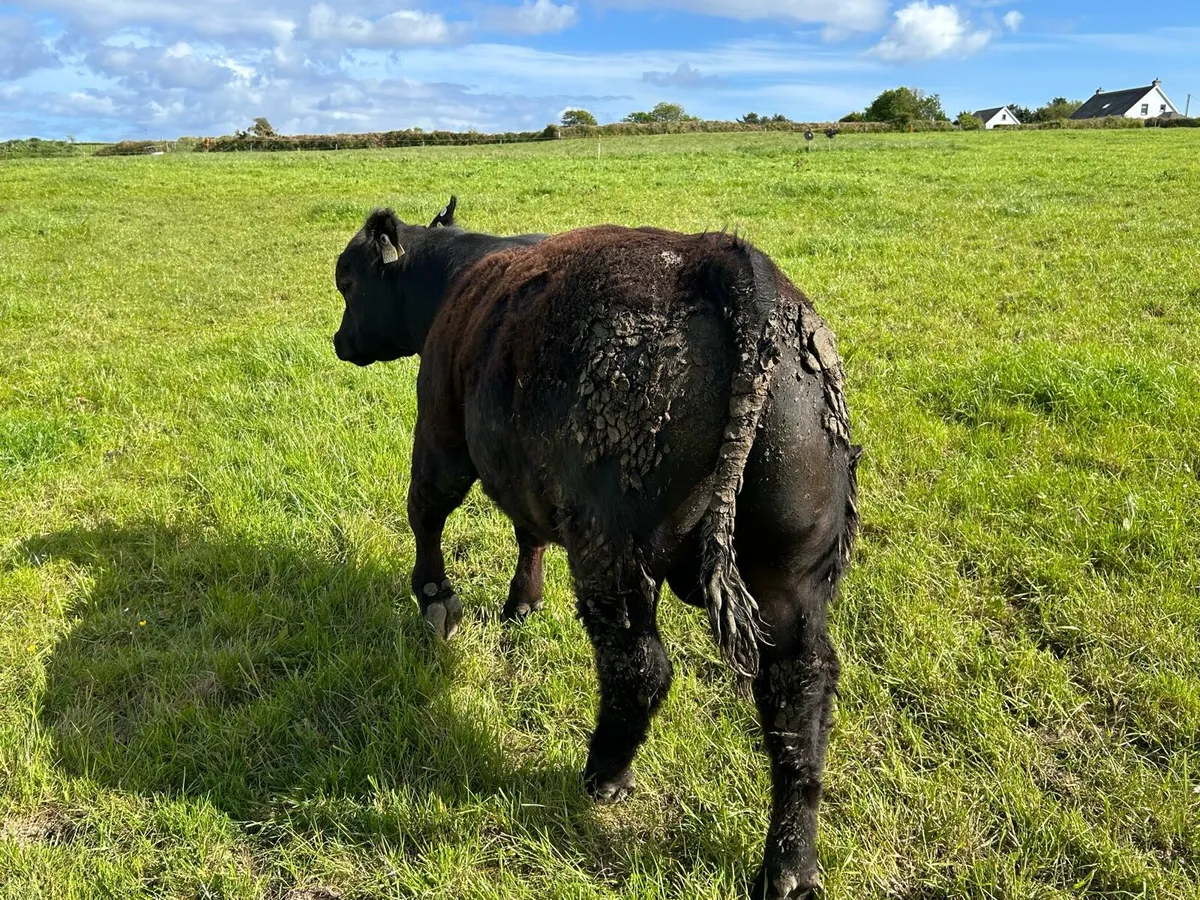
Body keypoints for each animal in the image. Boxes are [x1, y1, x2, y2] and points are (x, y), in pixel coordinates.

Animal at [331, 196, 860, 899]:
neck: (460, 276)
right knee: (799, 699)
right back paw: (788, 868)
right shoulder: (529, 479)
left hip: (614, 557)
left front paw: (436, 599)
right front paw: (522, 601)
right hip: (787, 580)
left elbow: (427, 512)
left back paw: (605, 774)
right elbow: (527, 531)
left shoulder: (442, 434)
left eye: (349, 283)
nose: (339, 341)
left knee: (640, 667)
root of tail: (729, 262)